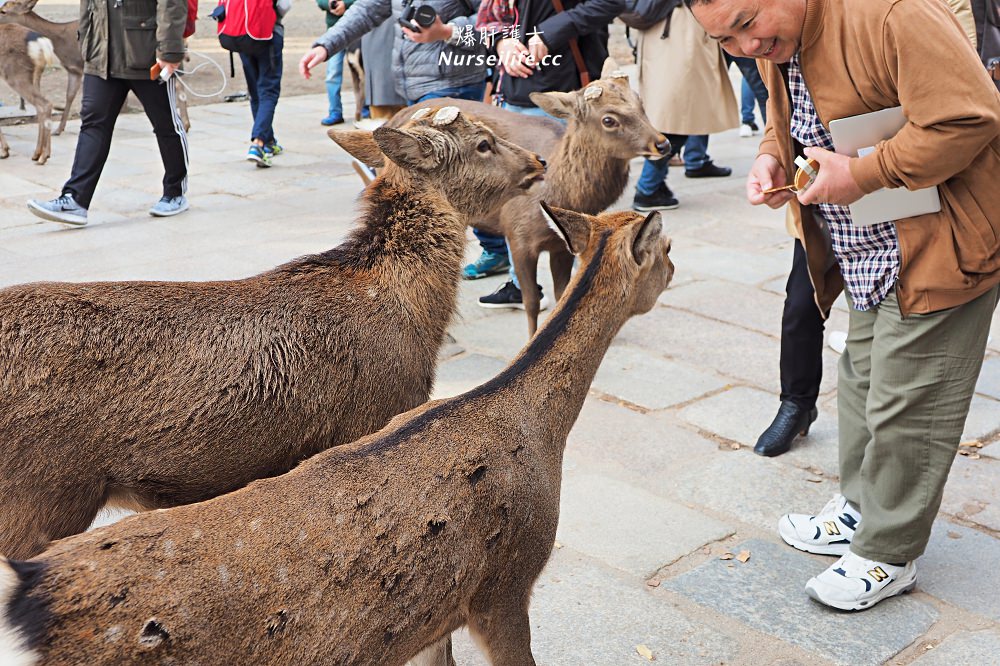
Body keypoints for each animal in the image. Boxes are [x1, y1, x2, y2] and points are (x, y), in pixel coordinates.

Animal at [0, 23, 51, 161]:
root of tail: (40, 41)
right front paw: (5, 150)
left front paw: (4, 151)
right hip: (36, 76)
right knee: (40, 107)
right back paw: (38, 154)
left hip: (16, 75)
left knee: (45, 103)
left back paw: (43, 157)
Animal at [384, 56, 672, 332]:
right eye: (609, 120)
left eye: (640, 102)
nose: (663, 143)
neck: (559, 194)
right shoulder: (517, 235)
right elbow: (531, 302)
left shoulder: (561, 247)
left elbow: (561, 293)